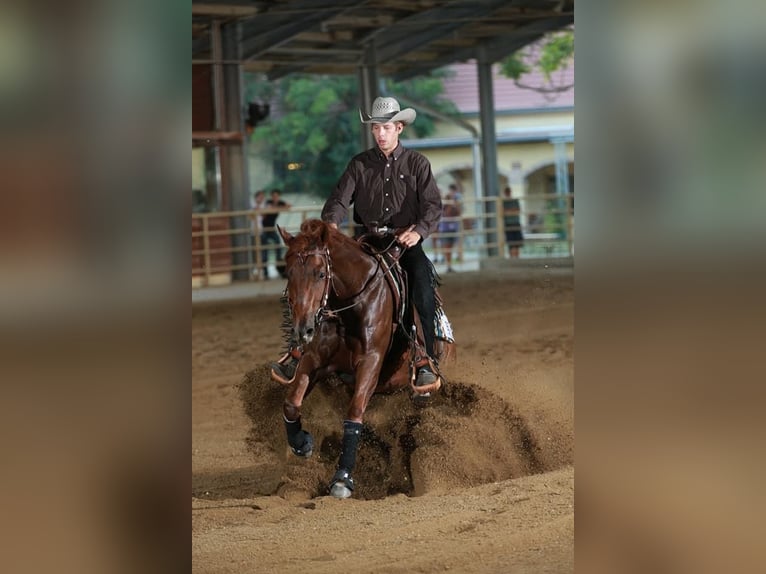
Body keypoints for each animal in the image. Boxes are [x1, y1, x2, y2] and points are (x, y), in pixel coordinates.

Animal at [274, 219, 455, 498]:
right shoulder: (314, 359)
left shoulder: (370, 362)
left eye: (321, 274)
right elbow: (292, 403)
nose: (303, 329)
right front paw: (302, 443)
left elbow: (354, 413)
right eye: (289, 273)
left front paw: (342, 478)